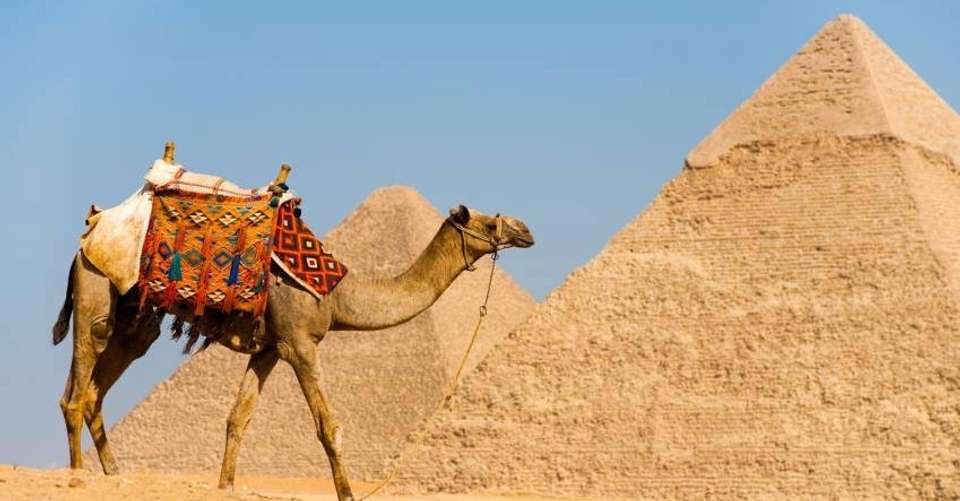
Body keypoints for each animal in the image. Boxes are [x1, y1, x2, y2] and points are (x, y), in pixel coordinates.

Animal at [52, 177, 534, 501]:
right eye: (488, 223)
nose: (525, 229)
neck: (338, 294)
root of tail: (86, 237)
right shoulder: (300, 343)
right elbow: (328, 427)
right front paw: (348, 494)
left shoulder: (269, 348)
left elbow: (237, 419)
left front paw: (225, 485)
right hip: (96, 294)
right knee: (76, 393)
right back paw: (78, 476)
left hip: (135, 323)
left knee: (95, 391)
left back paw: (113, 474)